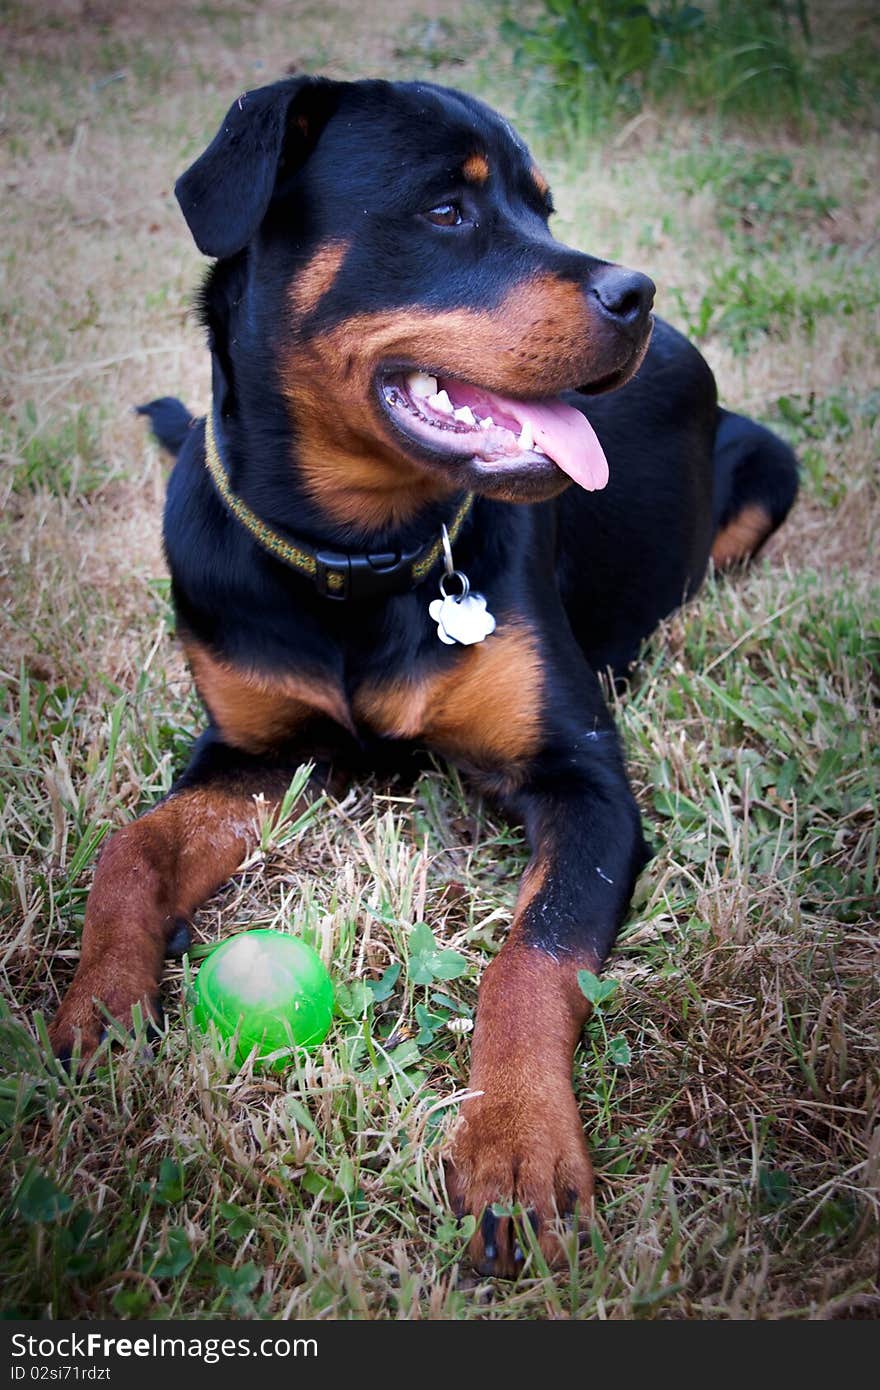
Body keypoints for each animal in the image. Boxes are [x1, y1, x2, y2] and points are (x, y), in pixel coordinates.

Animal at [49, 73, 800, 1273]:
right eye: (449, 210)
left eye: (543, 207)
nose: (636, 292)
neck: (357, 560)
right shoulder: (254, 755)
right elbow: (128, 847)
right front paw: (103, 1000)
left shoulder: (584, 782)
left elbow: (534, 957)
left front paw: (517, 1146)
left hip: (770, 464)